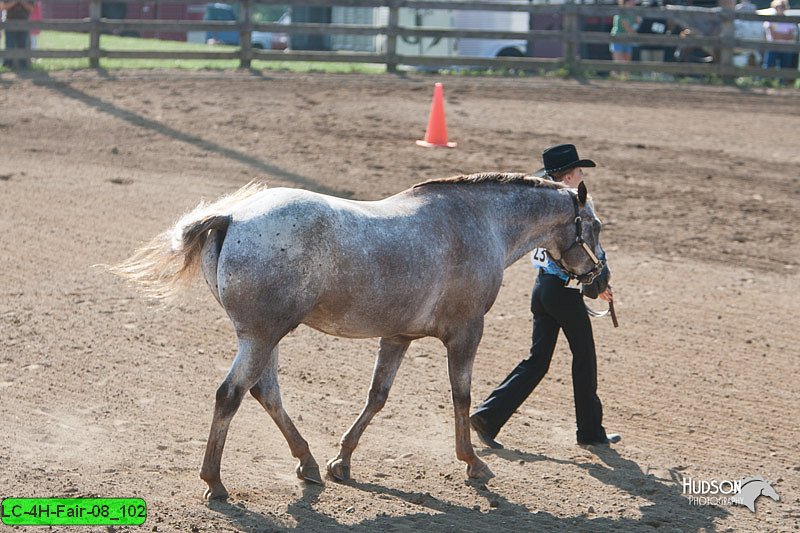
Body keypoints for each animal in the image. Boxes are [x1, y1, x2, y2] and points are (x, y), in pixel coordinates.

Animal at [112, 171, 608, 498]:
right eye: (596, 226)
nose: (599, 281)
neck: (478, 221)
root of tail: (231, 216)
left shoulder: (398, 337)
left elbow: (377, 397)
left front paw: (342, 462)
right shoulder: (466, 333)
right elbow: (462, 397)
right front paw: (473, 463)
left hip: (263, 338)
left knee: (266, 393)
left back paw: (308, 463)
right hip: (262, 337)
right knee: (230, 395)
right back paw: (215, 482)